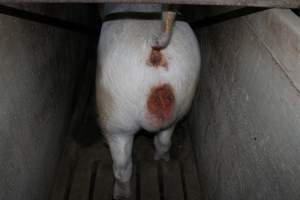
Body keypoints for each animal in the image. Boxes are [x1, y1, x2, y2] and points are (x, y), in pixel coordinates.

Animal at [95, 3, 200, 200]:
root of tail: (155, 47)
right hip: (182, 97)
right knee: (164, 140)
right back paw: (162, 160)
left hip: (116, 114)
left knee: (122, 165)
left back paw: (120, 194)